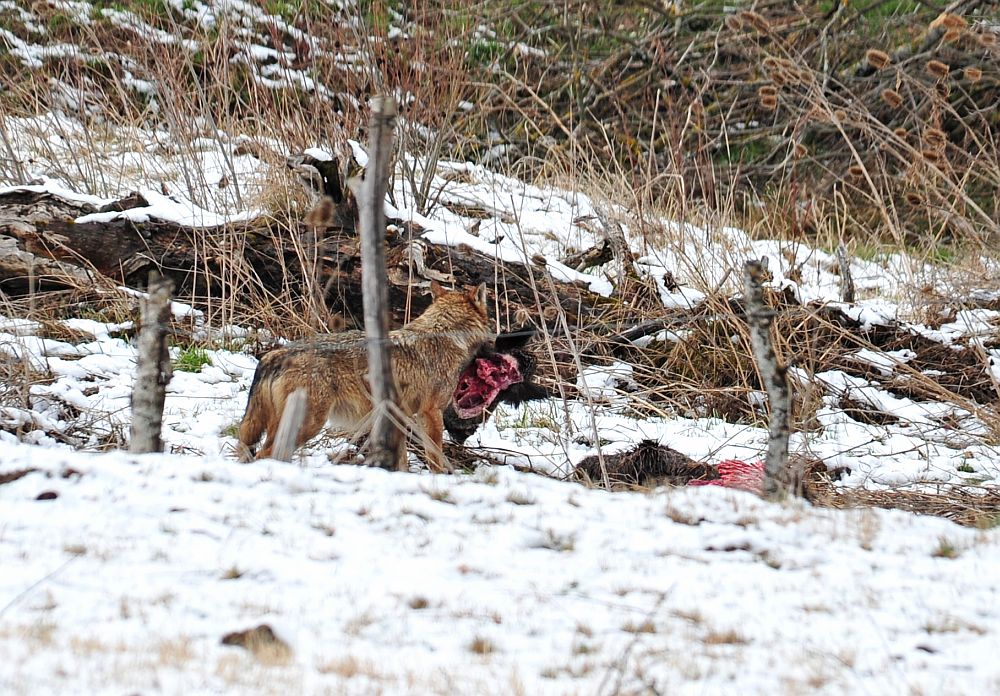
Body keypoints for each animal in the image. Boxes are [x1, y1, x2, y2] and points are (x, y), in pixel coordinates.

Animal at [235, 280, 492, 470]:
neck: (446, 336)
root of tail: (275, 354)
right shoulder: (431, 413)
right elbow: (436, 459)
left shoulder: (398, 416)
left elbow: (401, 462)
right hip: (308, 425)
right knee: (265, 455)